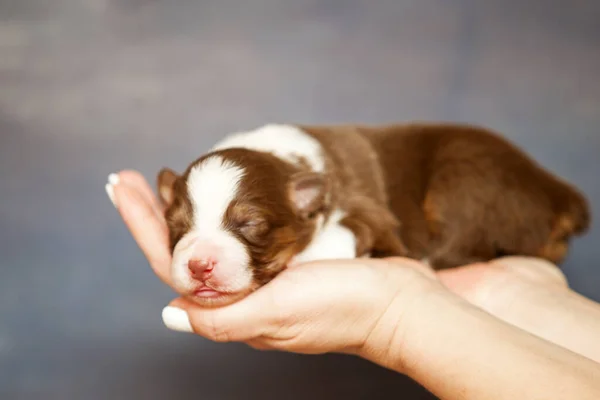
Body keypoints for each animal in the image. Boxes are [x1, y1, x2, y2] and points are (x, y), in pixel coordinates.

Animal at [156, 123, 592, 308]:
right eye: (176, 227)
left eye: (251, 226)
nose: (199, 265)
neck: (285, 161)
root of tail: (559, 192)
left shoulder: (371, 213)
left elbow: (343, 235)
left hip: (466, 179)